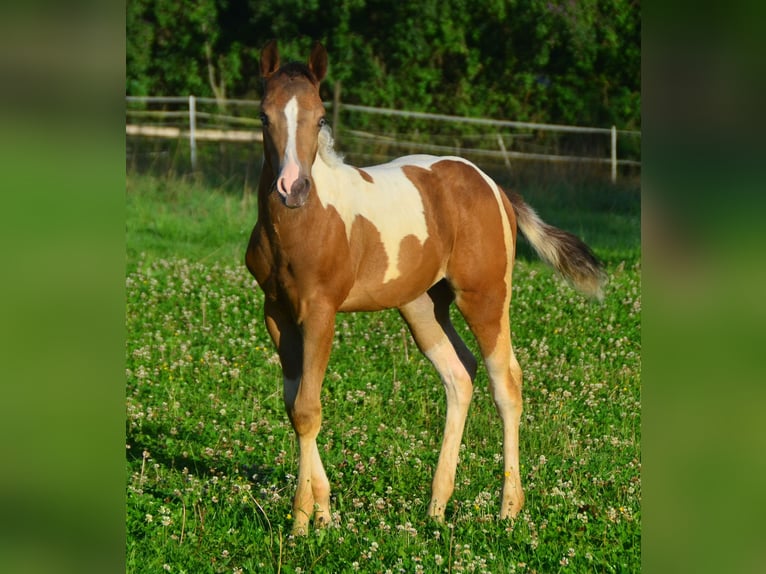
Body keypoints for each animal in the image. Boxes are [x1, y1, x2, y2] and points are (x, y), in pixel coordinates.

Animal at [246, 41, 608, 540]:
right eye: (264, 116)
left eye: (319, 118)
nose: (292, 188)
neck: (304, 223)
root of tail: (495, 187)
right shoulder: (276, 311)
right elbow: (294, 403)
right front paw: (323, 511)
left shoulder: (320, 311)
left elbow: (307, 407)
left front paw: (302, 522)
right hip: (421, 306)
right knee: (459, 374)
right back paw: (437, 507)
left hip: (485, 296)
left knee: (505, 382)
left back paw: (508, 509)